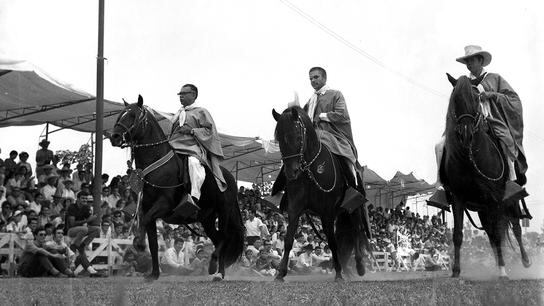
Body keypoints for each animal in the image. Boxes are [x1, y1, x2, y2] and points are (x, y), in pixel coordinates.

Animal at [109, 95, 243, 280]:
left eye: (133, 116)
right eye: (121, 114)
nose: (114, 136)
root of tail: (228, 177)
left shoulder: (163, 204)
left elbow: (145, 222)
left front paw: (139, 244)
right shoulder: (147, 208)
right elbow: (153, 242)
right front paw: (154, 274)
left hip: (224, 211)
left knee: (224, 238)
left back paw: (217, 270)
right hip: (207, 218)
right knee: (218, 239)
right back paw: (217, 270)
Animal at [272, 106, 370, 280]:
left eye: (297, 136)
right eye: (279, 139)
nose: (291, 173)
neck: (310, 169)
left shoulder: (327, 212)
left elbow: (332, 241)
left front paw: (338, 274)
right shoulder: (295, 208)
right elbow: (289, 239)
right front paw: (281, 273)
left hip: (354, 208)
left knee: (355, 231)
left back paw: (359, 266)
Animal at [442, 73, 532, 278]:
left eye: (476, 99)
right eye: (455, 99)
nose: (466, 135)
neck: (469, 158)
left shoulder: (493, 198)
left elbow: (499, 234)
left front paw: (503, 272)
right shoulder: (459, 197)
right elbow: (458, 234)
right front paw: (456, 271)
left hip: (509, 200)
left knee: (515, 227)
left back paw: (525, 261)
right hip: (482, 209)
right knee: (492, 233)